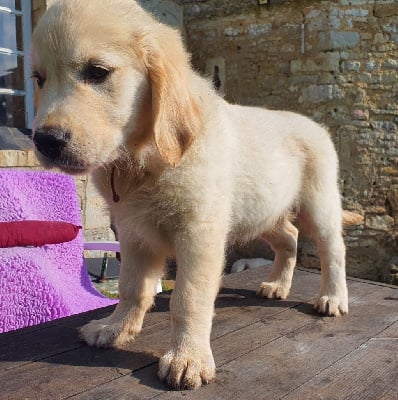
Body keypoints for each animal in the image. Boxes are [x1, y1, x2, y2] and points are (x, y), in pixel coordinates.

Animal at [31, 0, 358, 390]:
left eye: (97, 72)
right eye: (38, 79)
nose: (44, 140)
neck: (144, 159)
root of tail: (316, 126)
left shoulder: (199, 233)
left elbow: (188, 298)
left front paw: (188, 358)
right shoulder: (133, 232)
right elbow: (131, 287)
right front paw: (115, 328)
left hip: (318, 204)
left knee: (332, 249)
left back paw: (333, 297)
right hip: (261, 210)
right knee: (289, 238)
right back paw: (278, 284)